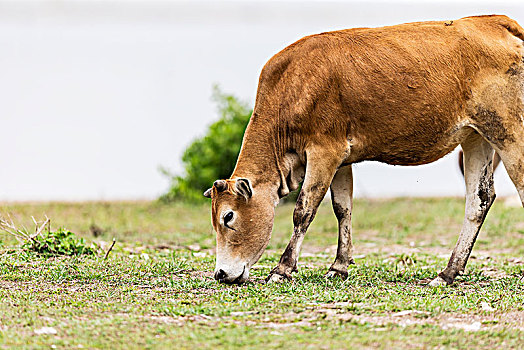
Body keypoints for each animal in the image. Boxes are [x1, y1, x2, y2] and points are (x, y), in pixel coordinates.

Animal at [204, 15, 524, 286]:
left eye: (228, 217)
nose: (220, 273)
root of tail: (496, 22)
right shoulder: (341, 158)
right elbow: (342, 207)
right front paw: (338, 266)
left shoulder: (324, 151)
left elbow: (304, 209)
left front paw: (282, 269)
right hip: (477, 137)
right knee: (479, 200)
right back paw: (448, 273)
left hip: (509, 132)